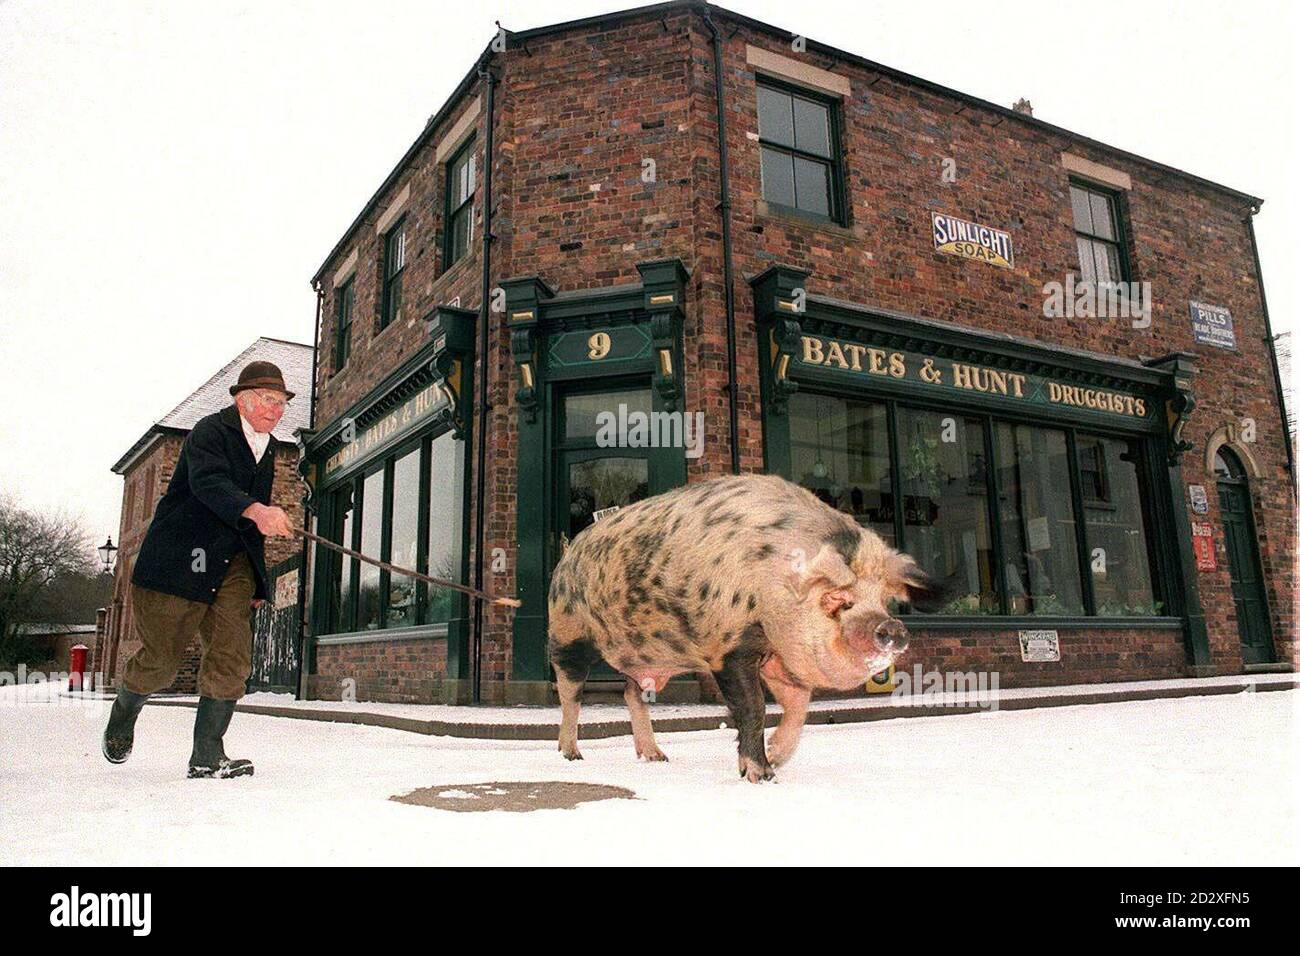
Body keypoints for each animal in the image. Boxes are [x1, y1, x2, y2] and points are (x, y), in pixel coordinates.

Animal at [546, 473, 946, 782]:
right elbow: (753, 707)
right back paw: (571, 755)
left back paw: (657, 757)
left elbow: (798, 708)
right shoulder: (728, 646)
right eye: (837, 598)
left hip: (648, 654)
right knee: (571, 694)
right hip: (566, 634)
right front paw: (762, 776)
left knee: (631, 693)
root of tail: (567, 552)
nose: (893, 629)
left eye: (884, 599)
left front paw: (778, 756)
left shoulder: (779, 657)